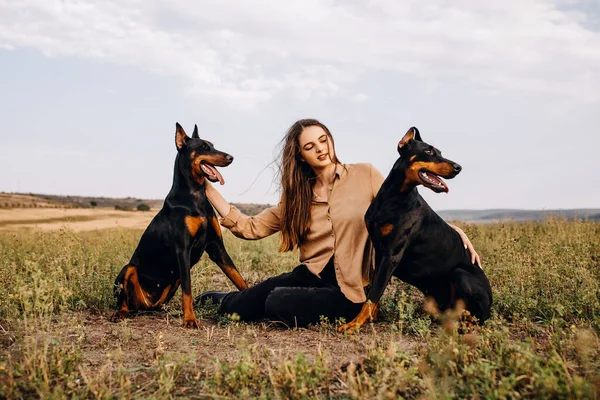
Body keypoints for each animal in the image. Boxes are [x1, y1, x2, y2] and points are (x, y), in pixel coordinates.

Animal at [109, 122, 247, 328]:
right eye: (204, 147)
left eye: (213, 145)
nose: (231, 157)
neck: (195, 195)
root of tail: (146, 305)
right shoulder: (183, 249)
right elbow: (188, 290)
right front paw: (190, 320)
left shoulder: (217, 247)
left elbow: (238, 277)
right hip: (129, 269)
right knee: (124, 299)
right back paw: (120, 314)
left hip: (170, 286)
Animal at [340, 126, 490, 332]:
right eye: (429, 151)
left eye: (440, 152)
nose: (458, 167)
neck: (394, 197)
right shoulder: (380, 253)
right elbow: (374, 289)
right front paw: (371, 318)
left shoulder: (392, 255)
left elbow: (373, 294)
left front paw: (354, 324)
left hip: (462, 274)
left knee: (476, 317)